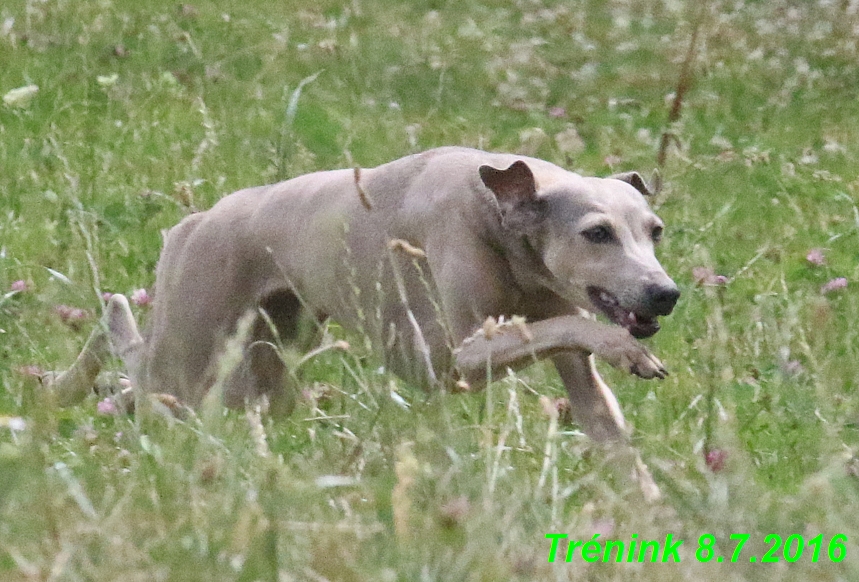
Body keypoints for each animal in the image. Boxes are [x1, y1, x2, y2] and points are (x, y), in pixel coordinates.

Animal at [48, 148, 680, 496]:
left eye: (654, 231)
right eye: (597, 233)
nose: (666, 293)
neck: (499, 215)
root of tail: (199, 219)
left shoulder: (566, 349)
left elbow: (605, 422)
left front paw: (656, 512)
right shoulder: (457, 360)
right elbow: (568, 332)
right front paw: (626, 350)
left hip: (257, 379)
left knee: (141, 388)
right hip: (186, 353)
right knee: (119, 333)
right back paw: (66, 386)